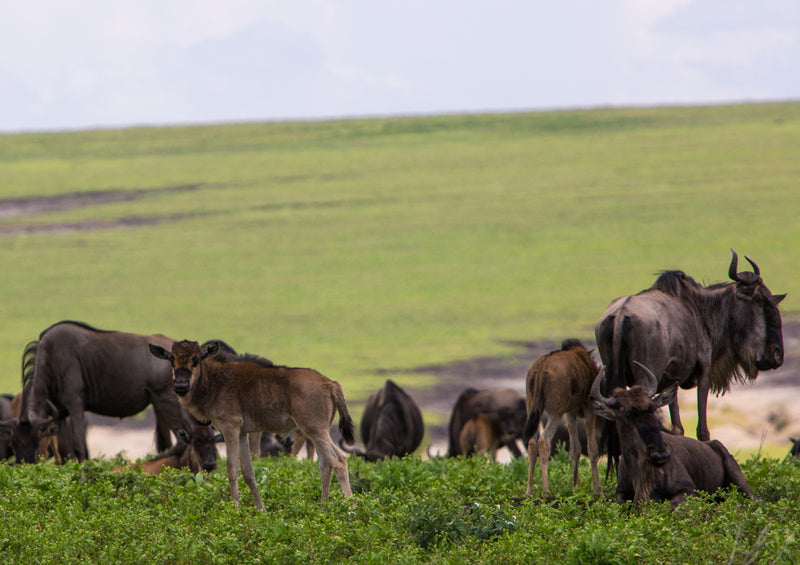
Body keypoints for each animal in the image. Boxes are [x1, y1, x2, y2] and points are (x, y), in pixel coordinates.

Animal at [148, 338, 354, 508]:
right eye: (172, 359)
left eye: (196, 359)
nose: (181, 386)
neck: (215, 382)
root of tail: (330, 383)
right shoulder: (242, 433)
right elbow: (248, 472)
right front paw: (260, 509)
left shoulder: (230, 429)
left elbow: (231, 469)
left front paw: (235, 508)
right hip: (317, 432)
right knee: (325, 464)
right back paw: (323, 507)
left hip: (315, 430)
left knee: (339, 460)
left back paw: (350, 506)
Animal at [524, 338, 600, 496]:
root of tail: (540, 369)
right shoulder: (589, 411)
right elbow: (592, 449)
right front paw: (597, 490)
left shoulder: (570, 413)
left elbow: (575, 448)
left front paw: (575, 486)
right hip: (555, 413)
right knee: (544, 441)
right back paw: (546, 491)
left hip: (533, 409)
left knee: (532, 443)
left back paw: (529, 491)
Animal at [592, 362, 752, 506]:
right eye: (626, 413)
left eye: (652, 408)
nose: (660, 454)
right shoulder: (621, 493)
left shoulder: (689, 490)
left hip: (741, 484)